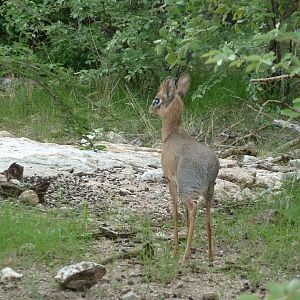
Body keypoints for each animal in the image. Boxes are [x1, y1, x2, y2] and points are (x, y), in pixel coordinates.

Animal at [149, 74, 218, 262]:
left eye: (157, 99)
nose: (150, 108)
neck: (172, 134)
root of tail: (208, 168)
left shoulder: (170, 181)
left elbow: (175, 212)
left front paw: (175, 250)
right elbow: (185, 218)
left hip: (186, 191)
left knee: (193, 209)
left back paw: (185, 257)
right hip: (209, 193)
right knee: (208, 219)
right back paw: (210, 257)